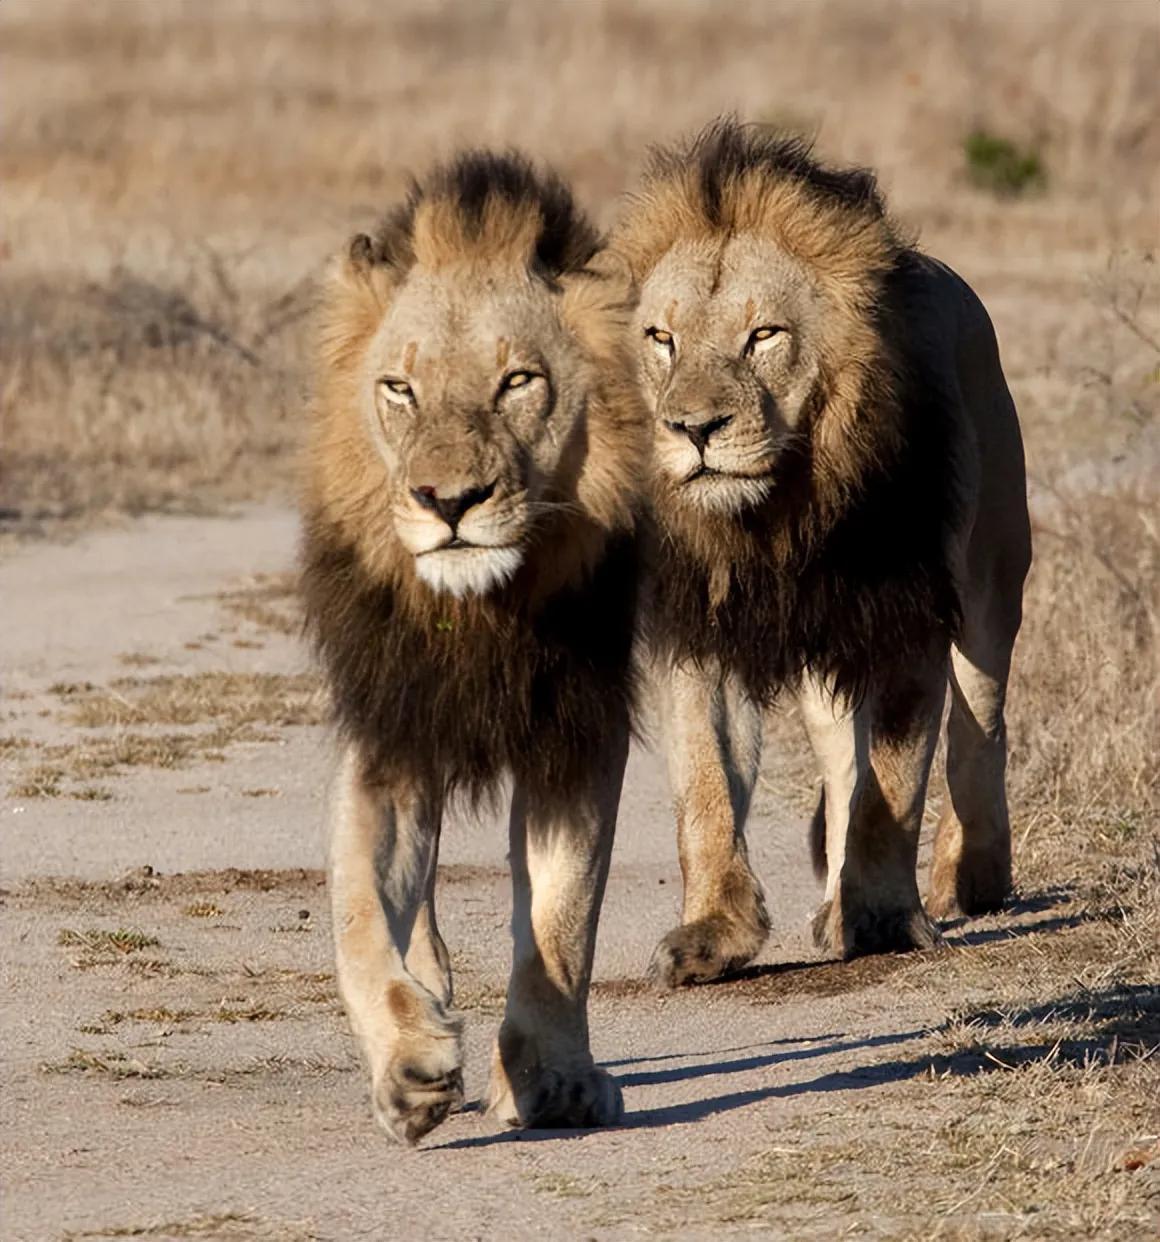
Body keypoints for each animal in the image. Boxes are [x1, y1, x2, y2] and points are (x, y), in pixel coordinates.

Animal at [299, 155, 650, 1142]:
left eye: (518, 382)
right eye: (399, 389)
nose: (448, 501)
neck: (481, 615)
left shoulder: (579, 732)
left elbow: (564, 920)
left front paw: (554, 1079)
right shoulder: (388, 733)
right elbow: (357, 913)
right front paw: (410, 1063)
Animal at [613, 121, 1038, 983]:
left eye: (763, 336)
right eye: (662, 339)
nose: (692, 430)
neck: (776, 519)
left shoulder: (907, 618)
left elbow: (896, 783)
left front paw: (879, 919)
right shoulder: (699, 630)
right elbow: (706, 786)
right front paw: (713, 932)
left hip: (991, 578)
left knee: (981, 725)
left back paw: (967, 878)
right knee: (843, 756)